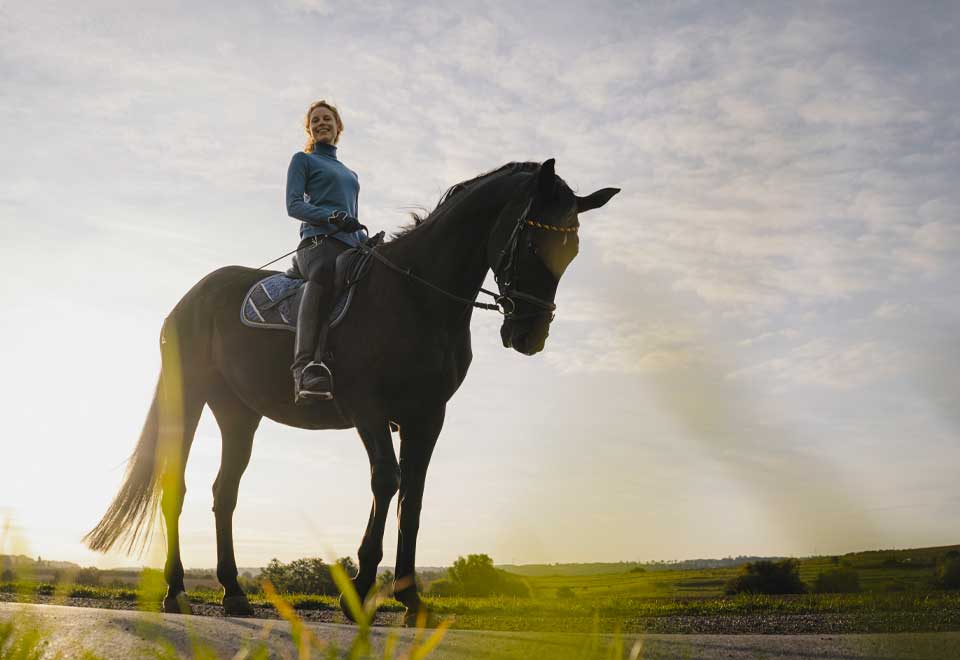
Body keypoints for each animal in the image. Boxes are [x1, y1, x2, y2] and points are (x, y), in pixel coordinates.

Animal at [84, 158, 619, 625]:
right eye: (531, 243)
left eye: (571, 251)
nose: (530, 335)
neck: (417, 295)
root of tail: (188, 299)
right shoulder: (369, 409)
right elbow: (387, 481)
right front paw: (359, 594)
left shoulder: (428, 416)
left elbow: (414, 497)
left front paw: (410, 599)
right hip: (189, 397)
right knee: (176, 486)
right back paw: (175, 592)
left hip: (239, 413)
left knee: (225, 492)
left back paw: (234, 594)